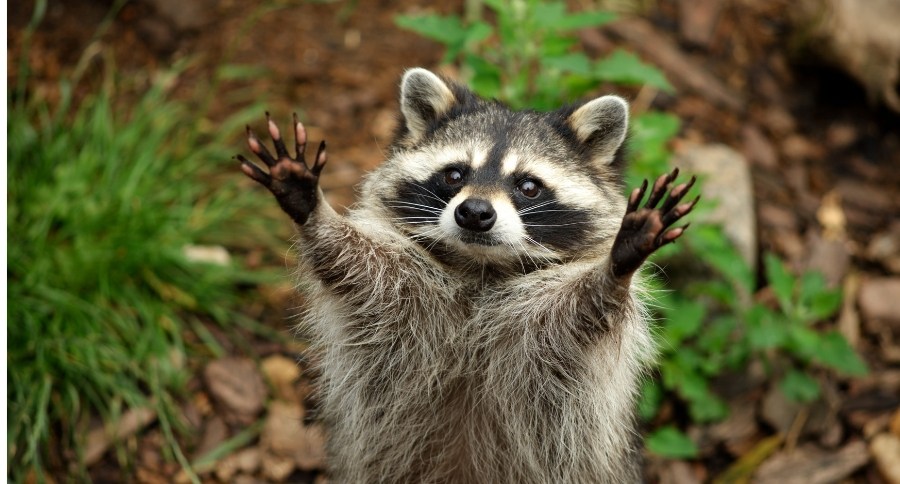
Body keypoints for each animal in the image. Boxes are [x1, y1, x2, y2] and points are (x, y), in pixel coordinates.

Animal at [238, 68, 697, 483]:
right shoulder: (400, 290)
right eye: (454, 174)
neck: (481, 267)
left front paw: (615, 268)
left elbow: (584, 312)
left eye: (528, 186)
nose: (474, 212)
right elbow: (353, 265)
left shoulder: (550, 332)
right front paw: (315, 212)